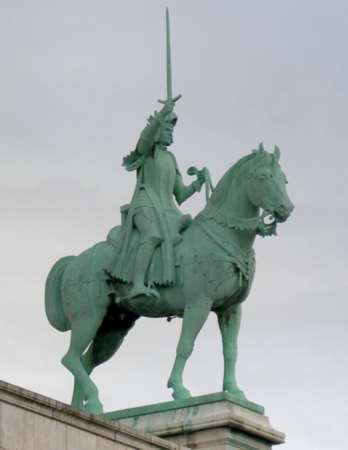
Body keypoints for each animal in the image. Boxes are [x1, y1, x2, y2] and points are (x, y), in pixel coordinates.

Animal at [44, 145, 294, 414]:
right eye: (262, 177)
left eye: (284, 179)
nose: (286, 209)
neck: (222, 234)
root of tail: (74, 262)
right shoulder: (199, 304)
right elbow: (185, 345)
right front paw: (179, 389)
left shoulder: (231, 309)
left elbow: (231, 351)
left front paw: (234, 391)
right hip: (88, 317)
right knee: (70, 358)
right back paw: (93, 401)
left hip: (112, 329)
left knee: (84, 361)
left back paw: (83, 408)